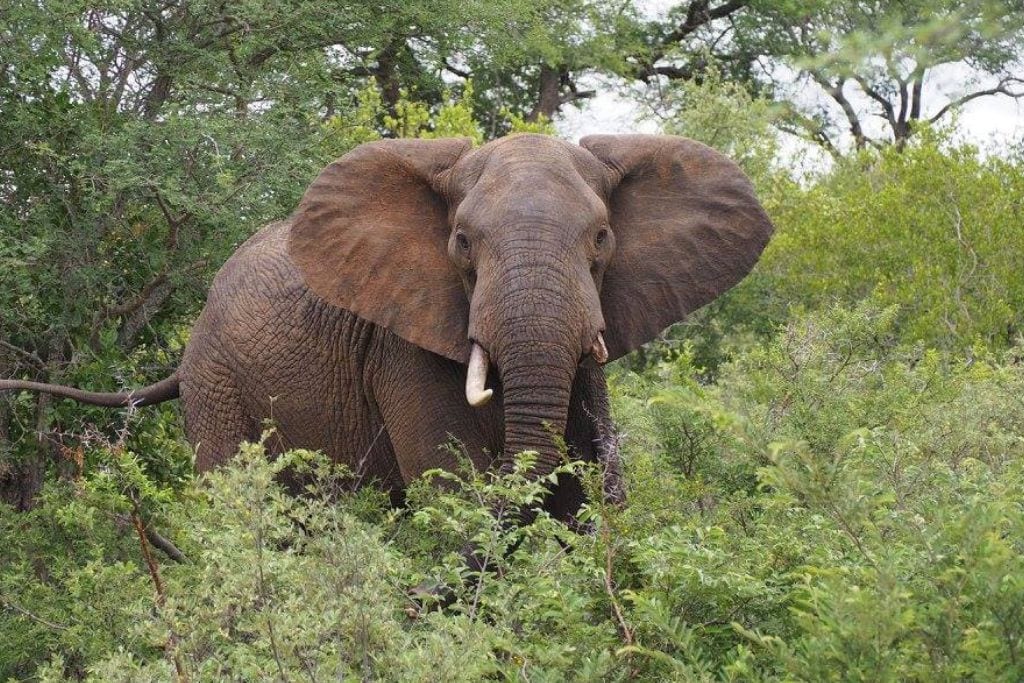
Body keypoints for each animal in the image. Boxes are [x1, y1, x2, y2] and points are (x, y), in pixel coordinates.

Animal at [1, 133, 773, 524]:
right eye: (462, 243)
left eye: (603, 239)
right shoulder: (401, 347)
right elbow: (454, 489)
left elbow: (592, 497)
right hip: (215, 388)